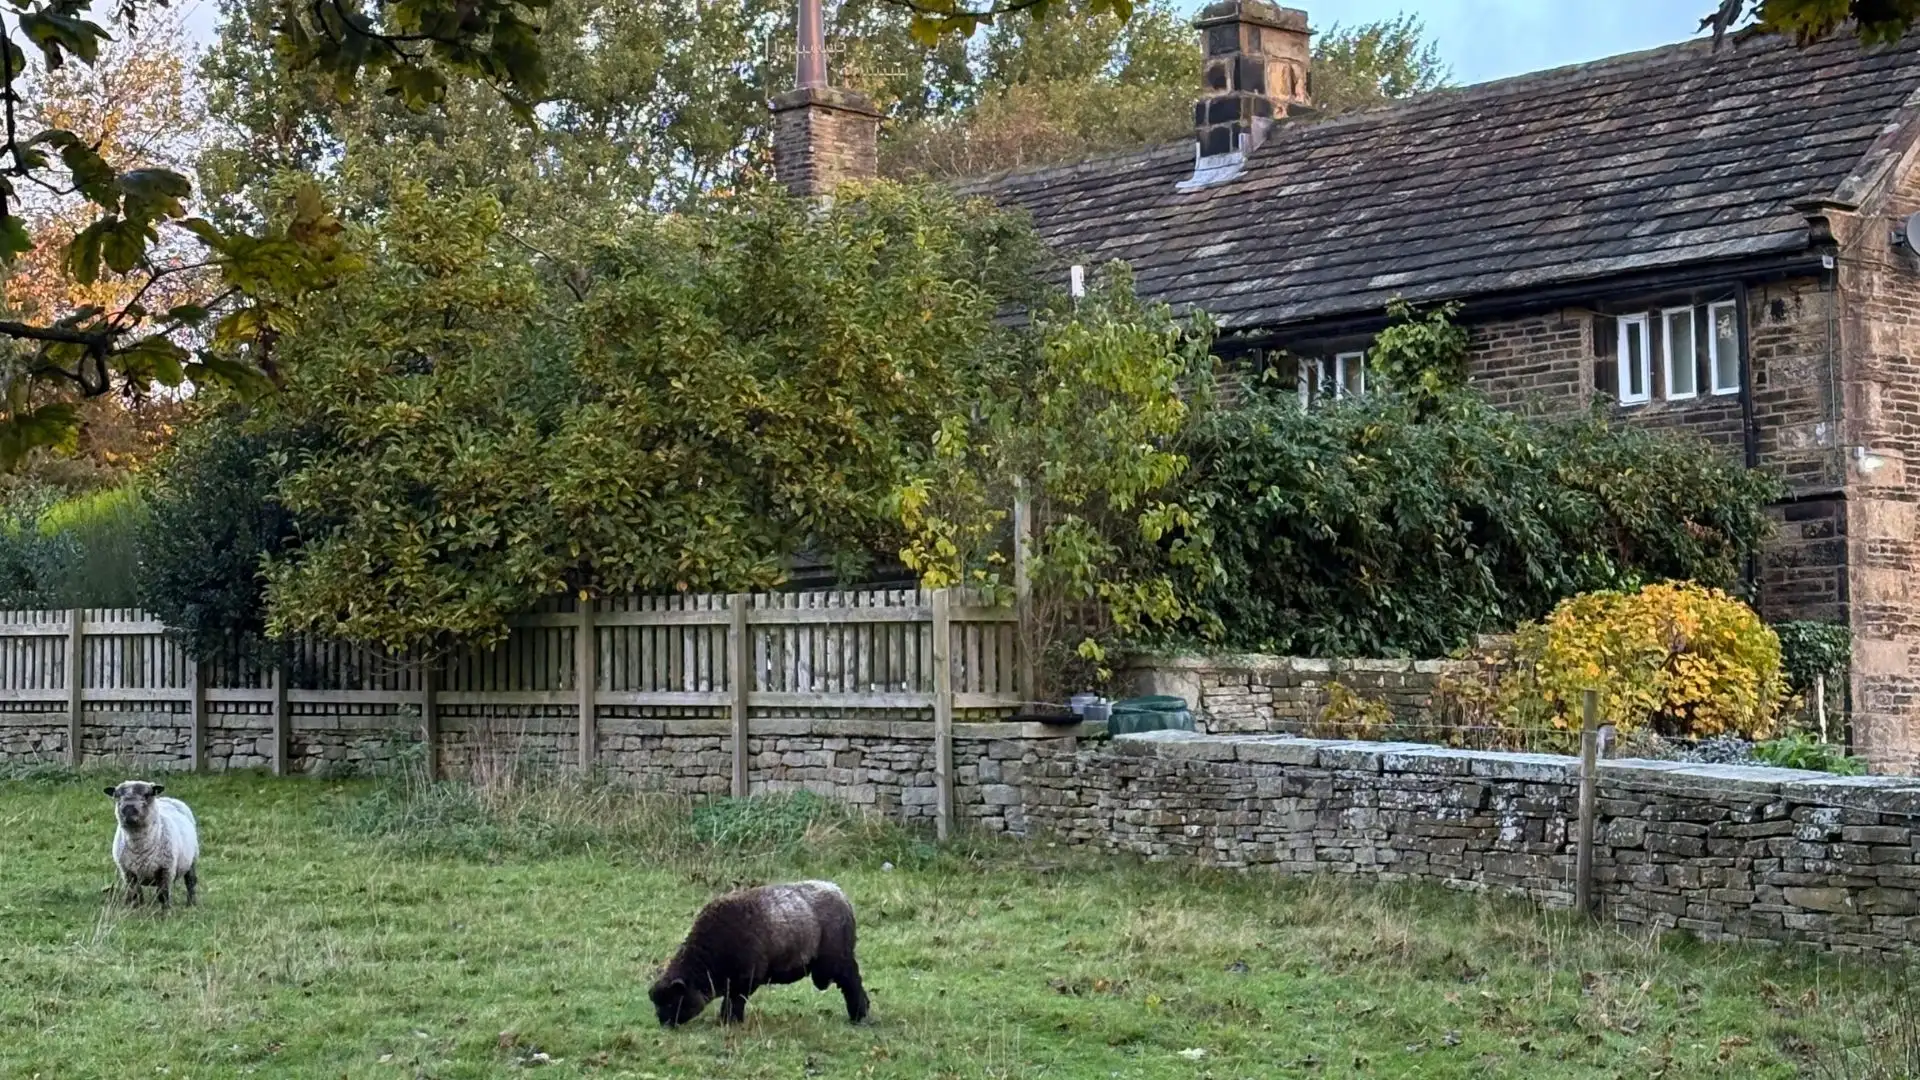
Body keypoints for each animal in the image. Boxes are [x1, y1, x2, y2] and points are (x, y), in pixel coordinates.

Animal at [106, 780, 199, 909]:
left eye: (147, 795)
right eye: (117, 796)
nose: (129, 811)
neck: (140, 848)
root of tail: (166, 798)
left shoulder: (166, 870)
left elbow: (163, 895)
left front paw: (165, 911)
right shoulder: (128, 872)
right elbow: (135, 894)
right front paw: (137, 909)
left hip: (192, 859)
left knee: (190, 882)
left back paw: (191, 904)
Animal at [649, 880, 869, 1027]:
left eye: (672, 1001)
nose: (663, 1023)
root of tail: (841, 896)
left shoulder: (746, 980)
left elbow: (734, 1002)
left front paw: (729, 1022)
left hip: (838, 960)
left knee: (852, 983)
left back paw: (859, 1015)